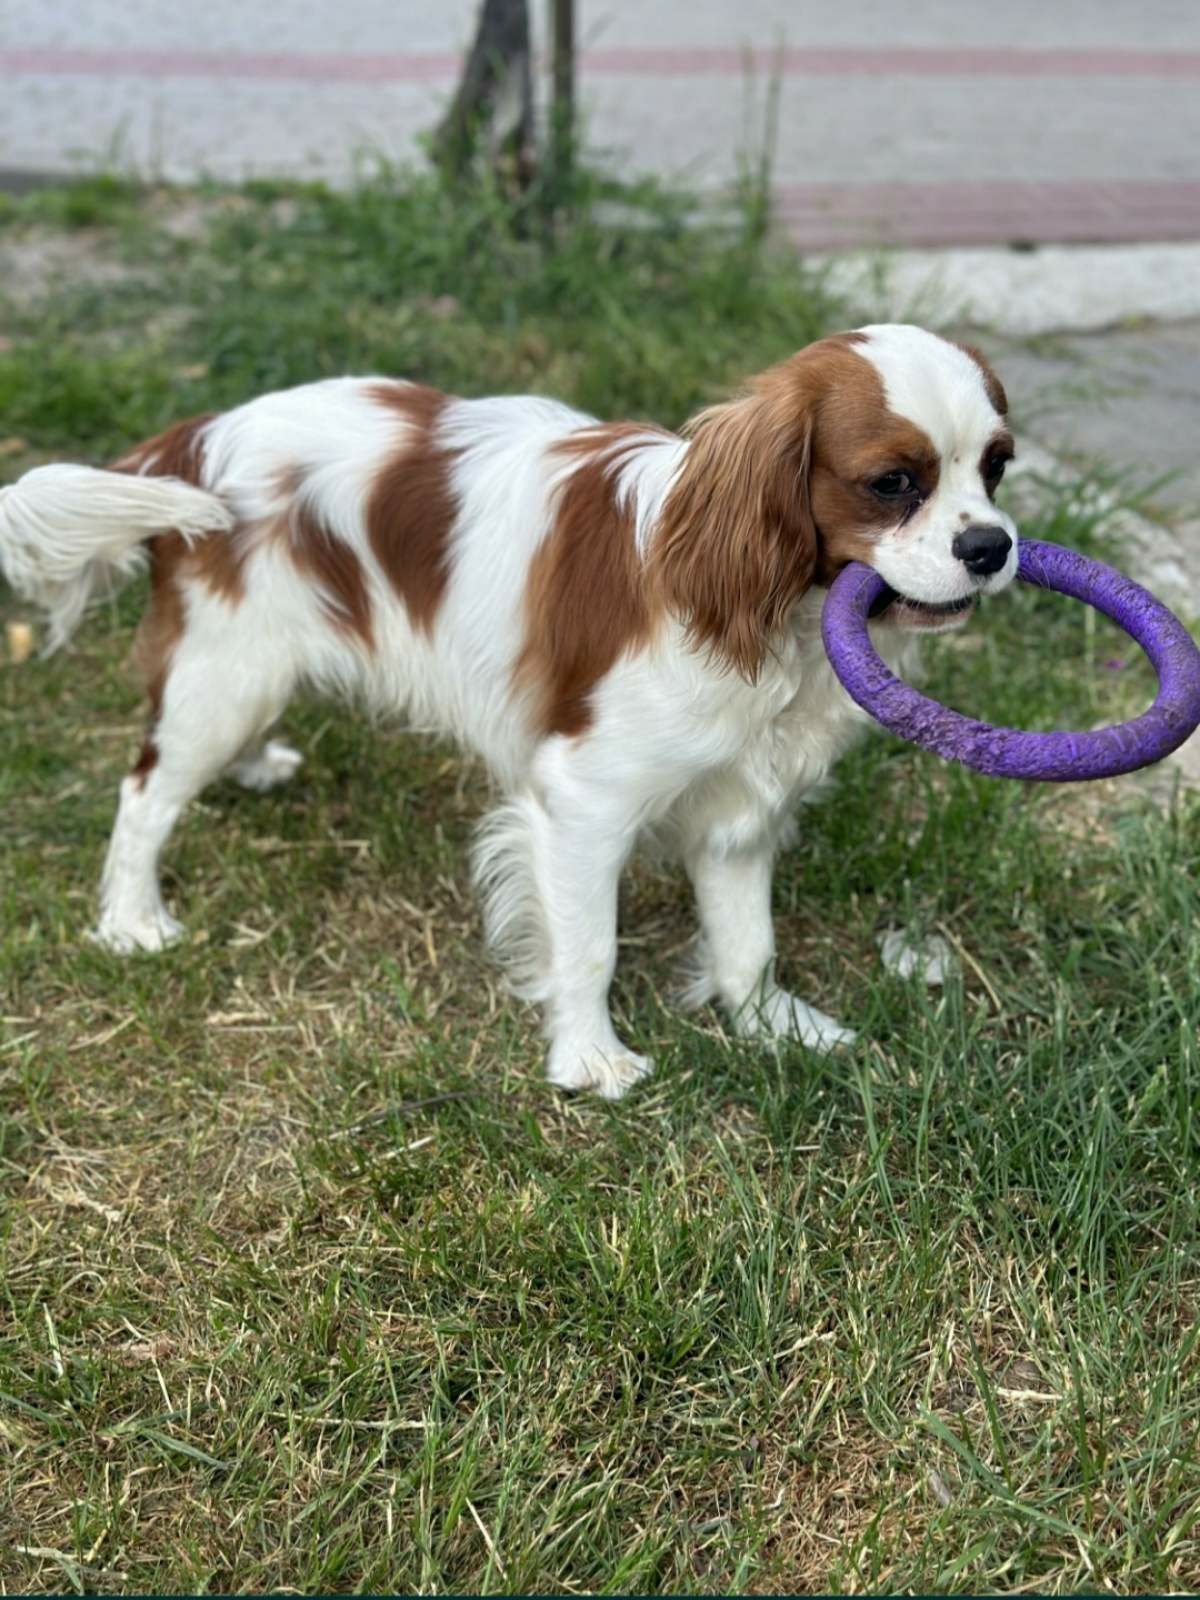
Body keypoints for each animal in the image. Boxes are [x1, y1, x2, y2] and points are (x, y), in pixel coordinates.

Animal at [0, 324, 1017, 1100]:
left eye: (998, 469)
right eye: (893, 482)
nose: (993, 546)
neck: (775, 618)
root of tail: (201, 436)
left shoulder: (737, 808)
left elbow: (748, 939)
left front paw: (771, 1025)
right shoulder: (582, 800)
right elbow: (589, 945)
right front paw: (592, 1060)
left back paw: (254, 766)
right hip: (227, 670)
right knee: (145, 792)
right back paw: (133, 920)